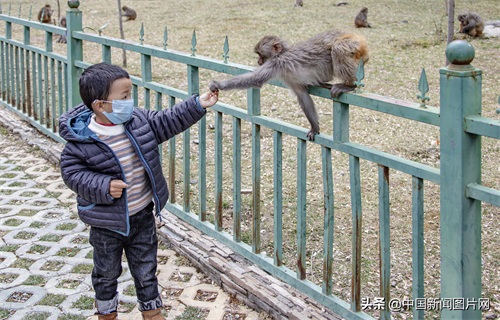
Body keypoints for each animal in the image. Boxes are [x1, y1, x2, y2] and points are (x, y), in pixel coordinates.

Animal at [209, 29, 370, 141]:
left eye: (261, 55)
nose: (258, 61)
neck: (282, 53)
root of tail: (358, 37)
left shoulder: (277, 63)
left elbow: (255, 79)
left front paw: (219, 84)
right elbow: (302, 95)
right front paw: (314, 127)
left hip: (352, 44)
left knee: (338, 48)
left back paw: (349, 85)